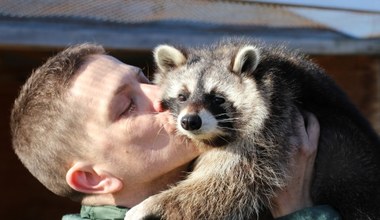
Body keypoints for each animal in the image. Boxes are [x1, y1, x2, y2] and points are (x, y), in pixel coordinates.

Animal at [125, 38, 380, 219]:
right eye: (182, 96)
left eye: (217, 98)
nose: (190, 121)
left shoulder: (274, 125)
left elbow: (231, 183)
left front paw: (153, 205)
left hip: (349, 163)